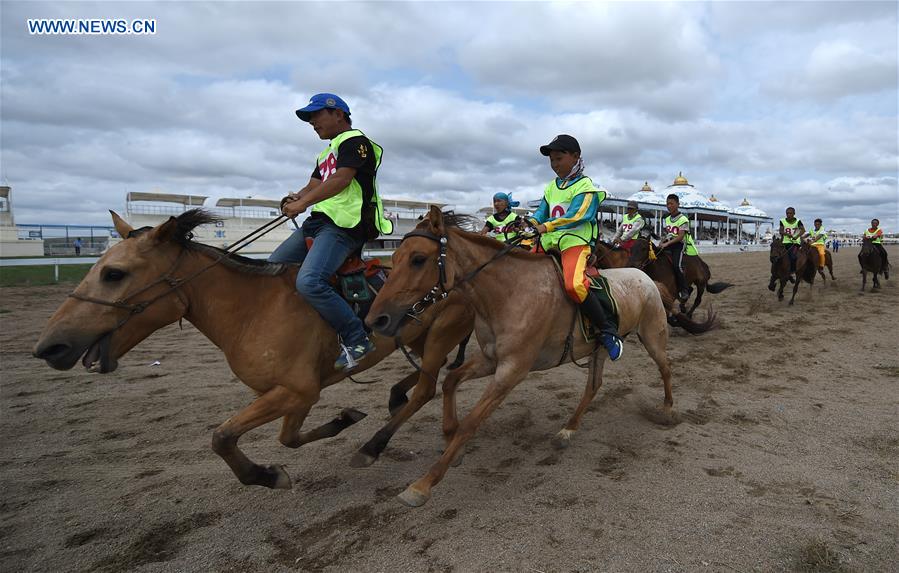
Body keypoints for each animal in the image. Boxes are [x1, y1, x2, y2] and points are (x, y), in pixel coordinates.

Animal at [31, 210, 474, 488]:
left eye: (113, 274)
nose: (49, 346)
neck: (253, 309)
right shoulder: (295, 395)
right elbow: (288, 439)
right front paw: (344, 419)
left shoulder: (296, 390)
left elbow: (223, 437)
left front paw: (266, 476)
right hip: (416, 336)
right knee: (424, 375)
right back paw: (395, 398)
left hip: (439, 334)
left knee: (428, 387)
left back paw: (375, 444)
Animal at [366, 208, 716, 508]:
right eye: (393, 257)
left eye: (418, 259)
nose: (376, 320)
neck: (509, 292)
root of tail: (647, 279)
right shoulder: (491, 360)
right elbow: (451, 381)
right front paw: (450, 436)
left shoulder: (511, 371)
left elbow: (471, 423)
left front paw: (422, 484)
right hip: (600, 348)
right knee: (594, 386)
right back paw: (568, 430)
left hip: (653, 336)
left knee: (666, 368)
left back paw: (667, 410)